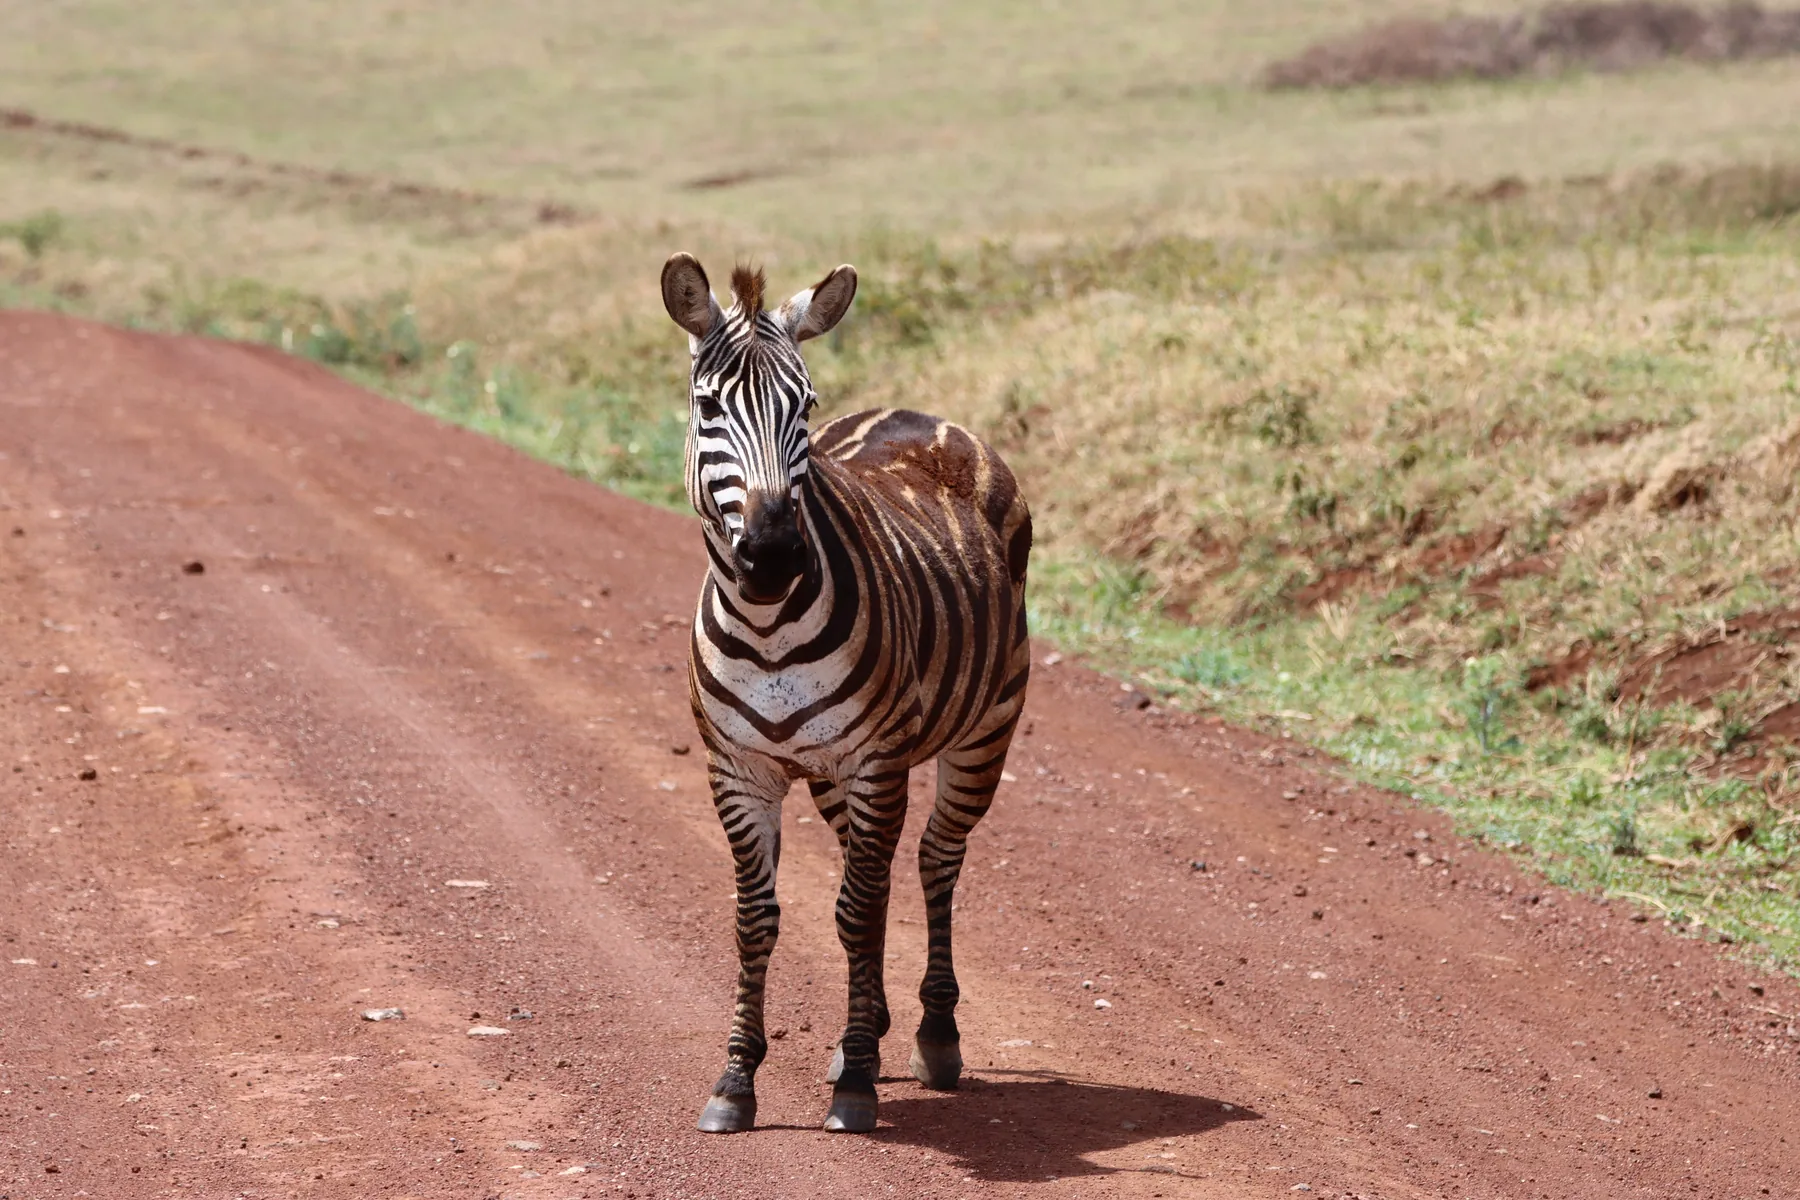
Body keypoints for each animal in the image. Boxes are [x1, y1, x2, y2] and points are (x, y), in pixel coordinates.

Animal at [661, 254, 1032, 1134]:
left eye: (805, 406)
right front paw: (737, 1080)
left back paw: (932, 1036)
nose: (771, 554)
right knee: (882, 873)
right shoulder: (738, 772)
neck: (766, 625)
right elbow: (757, 919)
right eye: (707, 406)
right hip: (835, 775)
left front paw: (859, 1082)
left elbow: (857, 914)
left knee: (933, 862)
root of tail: (918, 411)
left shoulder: (874, 762)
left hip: (982, 732)